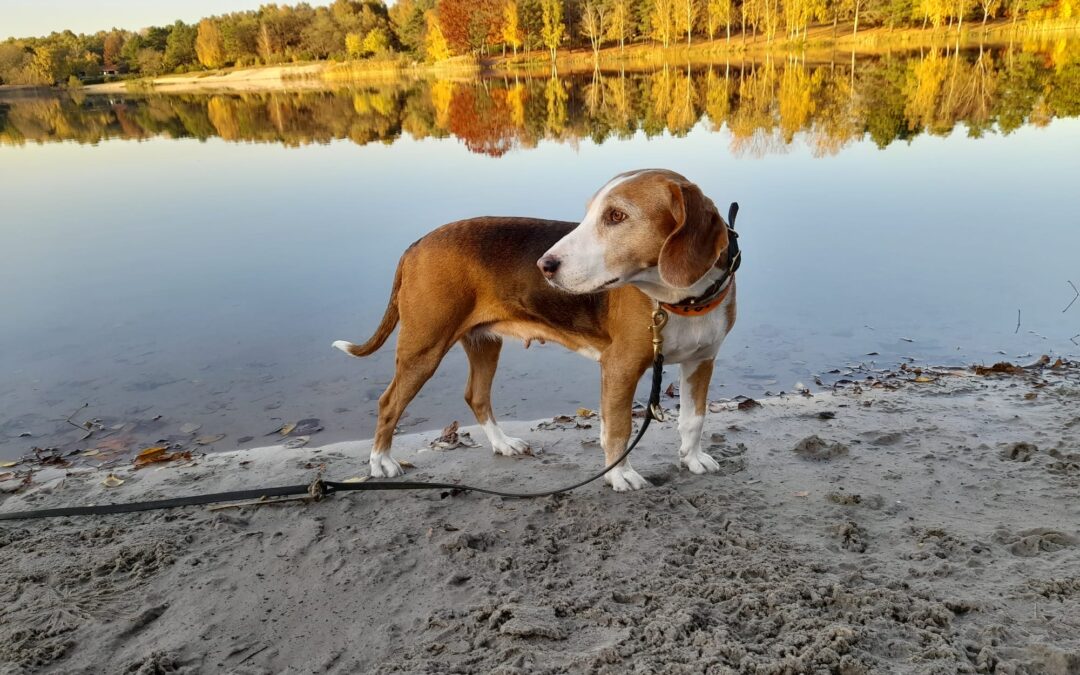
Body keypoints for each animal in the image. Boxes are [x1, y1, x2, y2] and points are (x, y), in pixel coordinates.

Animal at [332, 168, 738, 492]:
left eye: (617, 216)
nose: (545, 265)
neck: (681, 301)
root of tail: (416, 246)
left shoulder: (702, 362)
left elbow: (694, 419)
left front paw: (692, 458)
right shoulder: (620, 367)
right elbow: (620, 428)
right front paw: (619, 474)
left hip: (484, 342)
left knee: (476, 396)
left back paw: (503, 444)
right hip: (424, 348)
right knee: (389, 403)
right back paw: (380, 463)